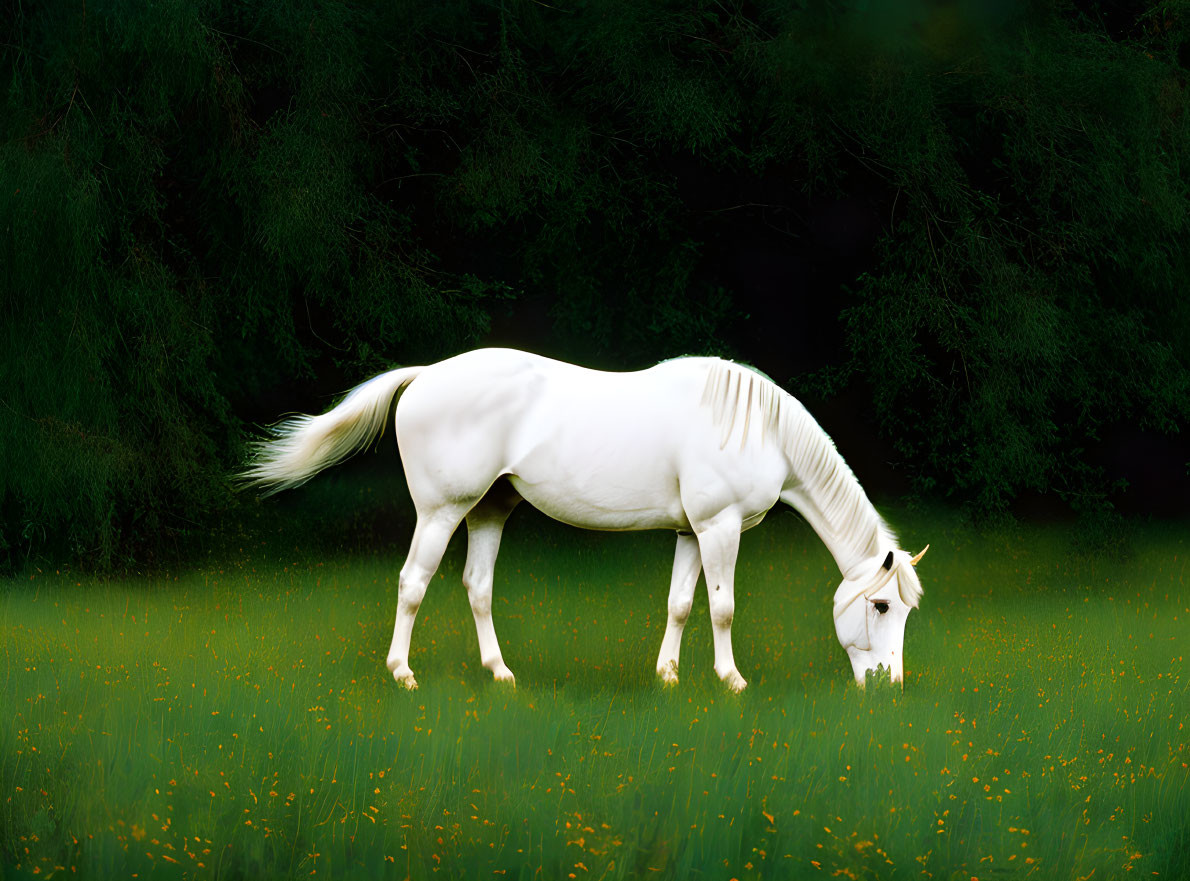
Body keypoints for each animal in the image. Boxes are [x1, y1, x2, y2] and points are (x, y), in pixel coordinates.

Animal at [243, 347, 928, 690]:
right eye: (881, 606)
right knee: (413, 586)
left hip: (488, 511)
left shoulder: (691, 532)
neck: (759, 427)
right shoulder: (719, 528)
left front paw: (668, 676)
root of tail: (427, 375)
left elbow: (681, 604)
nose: (888, 684)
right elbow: (722, 608)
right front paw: (731, 679)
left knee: (477, 588)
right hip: (441, 512)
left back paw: (500, 673)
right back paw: (402, 674)